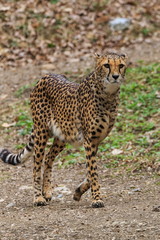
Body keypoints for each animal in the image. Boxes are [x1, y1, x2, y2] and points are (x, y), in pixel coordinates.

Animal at [0, 52, 127, 208]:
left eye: (121, 65)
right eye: (107, 65)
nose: (115, 76)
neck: (108, 95)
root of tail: (46, 75)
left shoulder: (96, 140)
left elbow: (90, 171)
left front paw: (78, 192)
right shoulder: (89, 140)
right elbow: (93, 171)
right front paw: (96, 199)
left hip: (63, 136)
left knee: (48, 157)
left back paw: (47, 191)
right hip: (41, 132)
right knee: (36, 164)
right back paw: (38, 197)